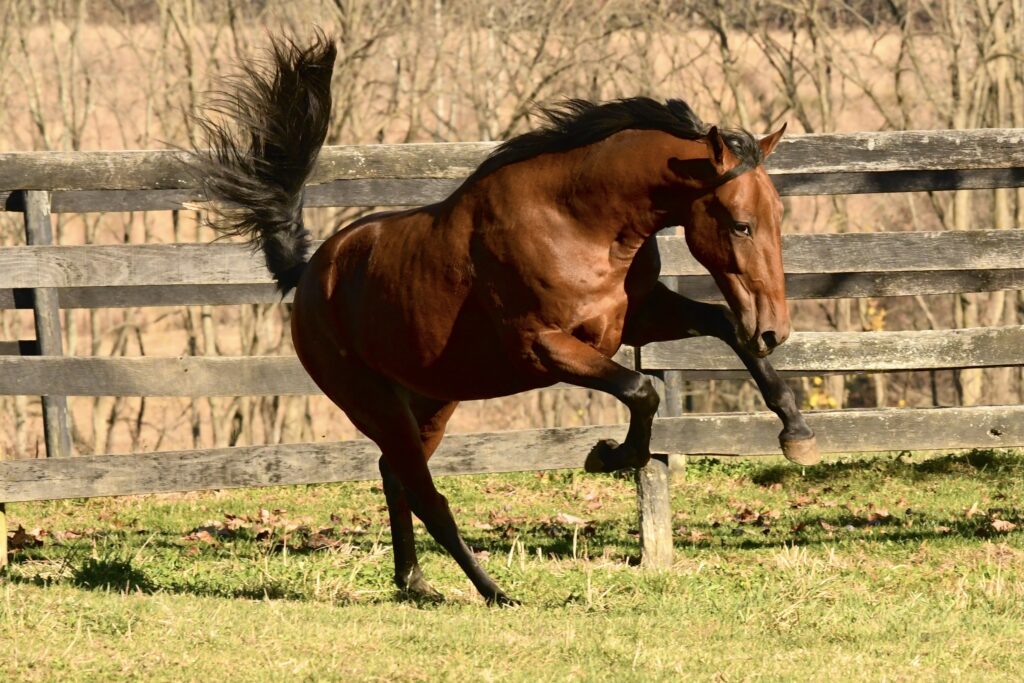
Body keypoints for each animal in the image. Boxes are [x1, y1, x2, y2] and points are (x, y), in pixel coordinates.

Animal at [191, 34, 819, 606]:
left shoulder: (637, 317)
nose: (775, 329)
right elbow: (642, 389)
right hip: (373, 402)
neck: (578, 220)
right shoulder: (544, 348)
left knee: (395, 475)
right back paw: (493, 591)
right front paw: (609, 455)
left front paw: (797, 434)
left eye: (777, 215)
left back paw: (415, 583)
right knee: (427, 496)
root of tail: (307, 275)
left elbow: (722, 327)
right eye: (740, 224)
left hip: (431, 401)